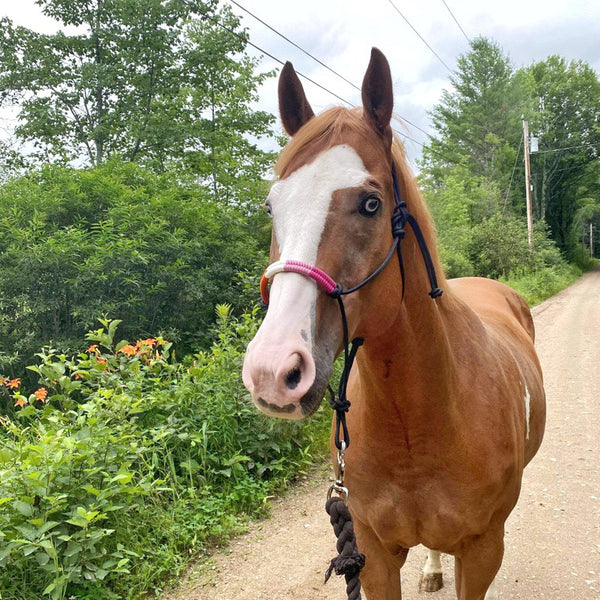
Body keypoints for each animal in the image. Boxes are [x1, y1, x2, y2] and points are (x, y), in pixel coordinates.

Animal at [241, 48, 548, 600]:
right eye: (272, 206)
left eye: (371, 203)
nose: (272, 370)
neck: (418, 425)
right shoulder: (374, 555)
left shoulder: (483, 551)